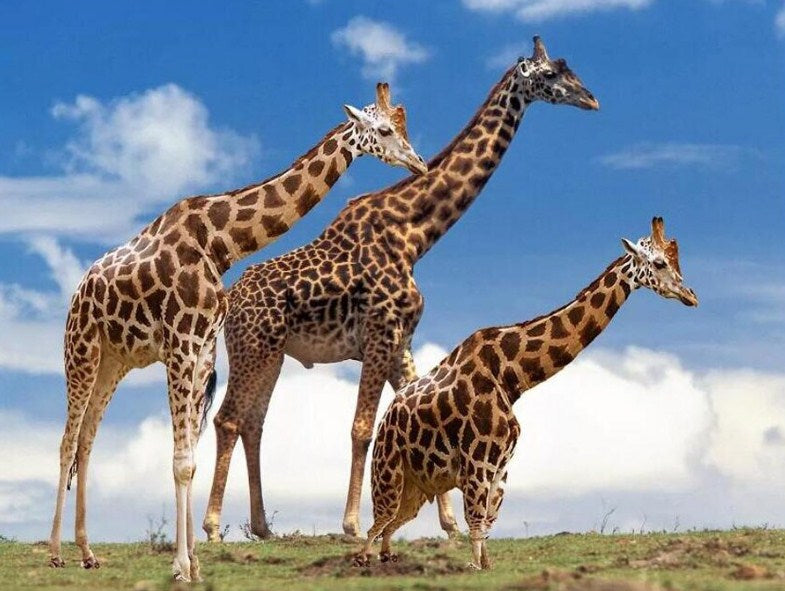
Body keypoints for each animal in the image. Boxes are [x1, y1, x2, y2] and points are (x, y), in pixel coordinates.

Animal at [47, 82, 426, 582]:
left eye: (404, 128)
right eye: (383, 130)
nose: (419, 163)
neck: (222, 243)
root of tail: (78, 291)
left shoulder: (203, 348)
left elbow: (189, 454)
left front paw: (192, 564)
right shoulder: (182, 344)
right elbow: (182, 460)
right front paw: (181, 566)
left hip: (116, 360)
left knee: (88, 441)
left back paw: (88, 552)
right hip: (82, 351)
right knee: (67, 442)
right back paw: (55, 553)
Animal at [202, 36, 600, 542]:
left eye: (569, 66)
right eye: (550, 74)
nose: (591, 99)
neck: (415, 235)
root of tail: (229, 300)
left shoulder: (400, 340)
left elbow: (413, 411)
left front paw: (449, 526)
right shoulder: (378, 334)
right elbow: (361, 427)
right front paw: (354, 525)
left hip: (272, 353)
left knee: (253, 423)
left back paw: (262, 527)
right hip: (252, 348)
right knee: (228, 418)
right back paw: (214, 527)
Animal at [356, 217, 698, 569]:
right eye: (659, 262)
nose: (690, 295)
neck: (512, 376)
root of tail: (386, 417)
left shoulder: (501, 465)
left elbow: (487, 525)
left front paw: (485, 565)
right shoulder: (477, 461)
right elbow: (476, 525)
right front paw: (472, 567)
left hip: (418, 486)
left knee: (390, 524)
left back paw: (387, 558)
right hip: (388, 470)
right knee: (377, 523)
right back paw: (365, 560)